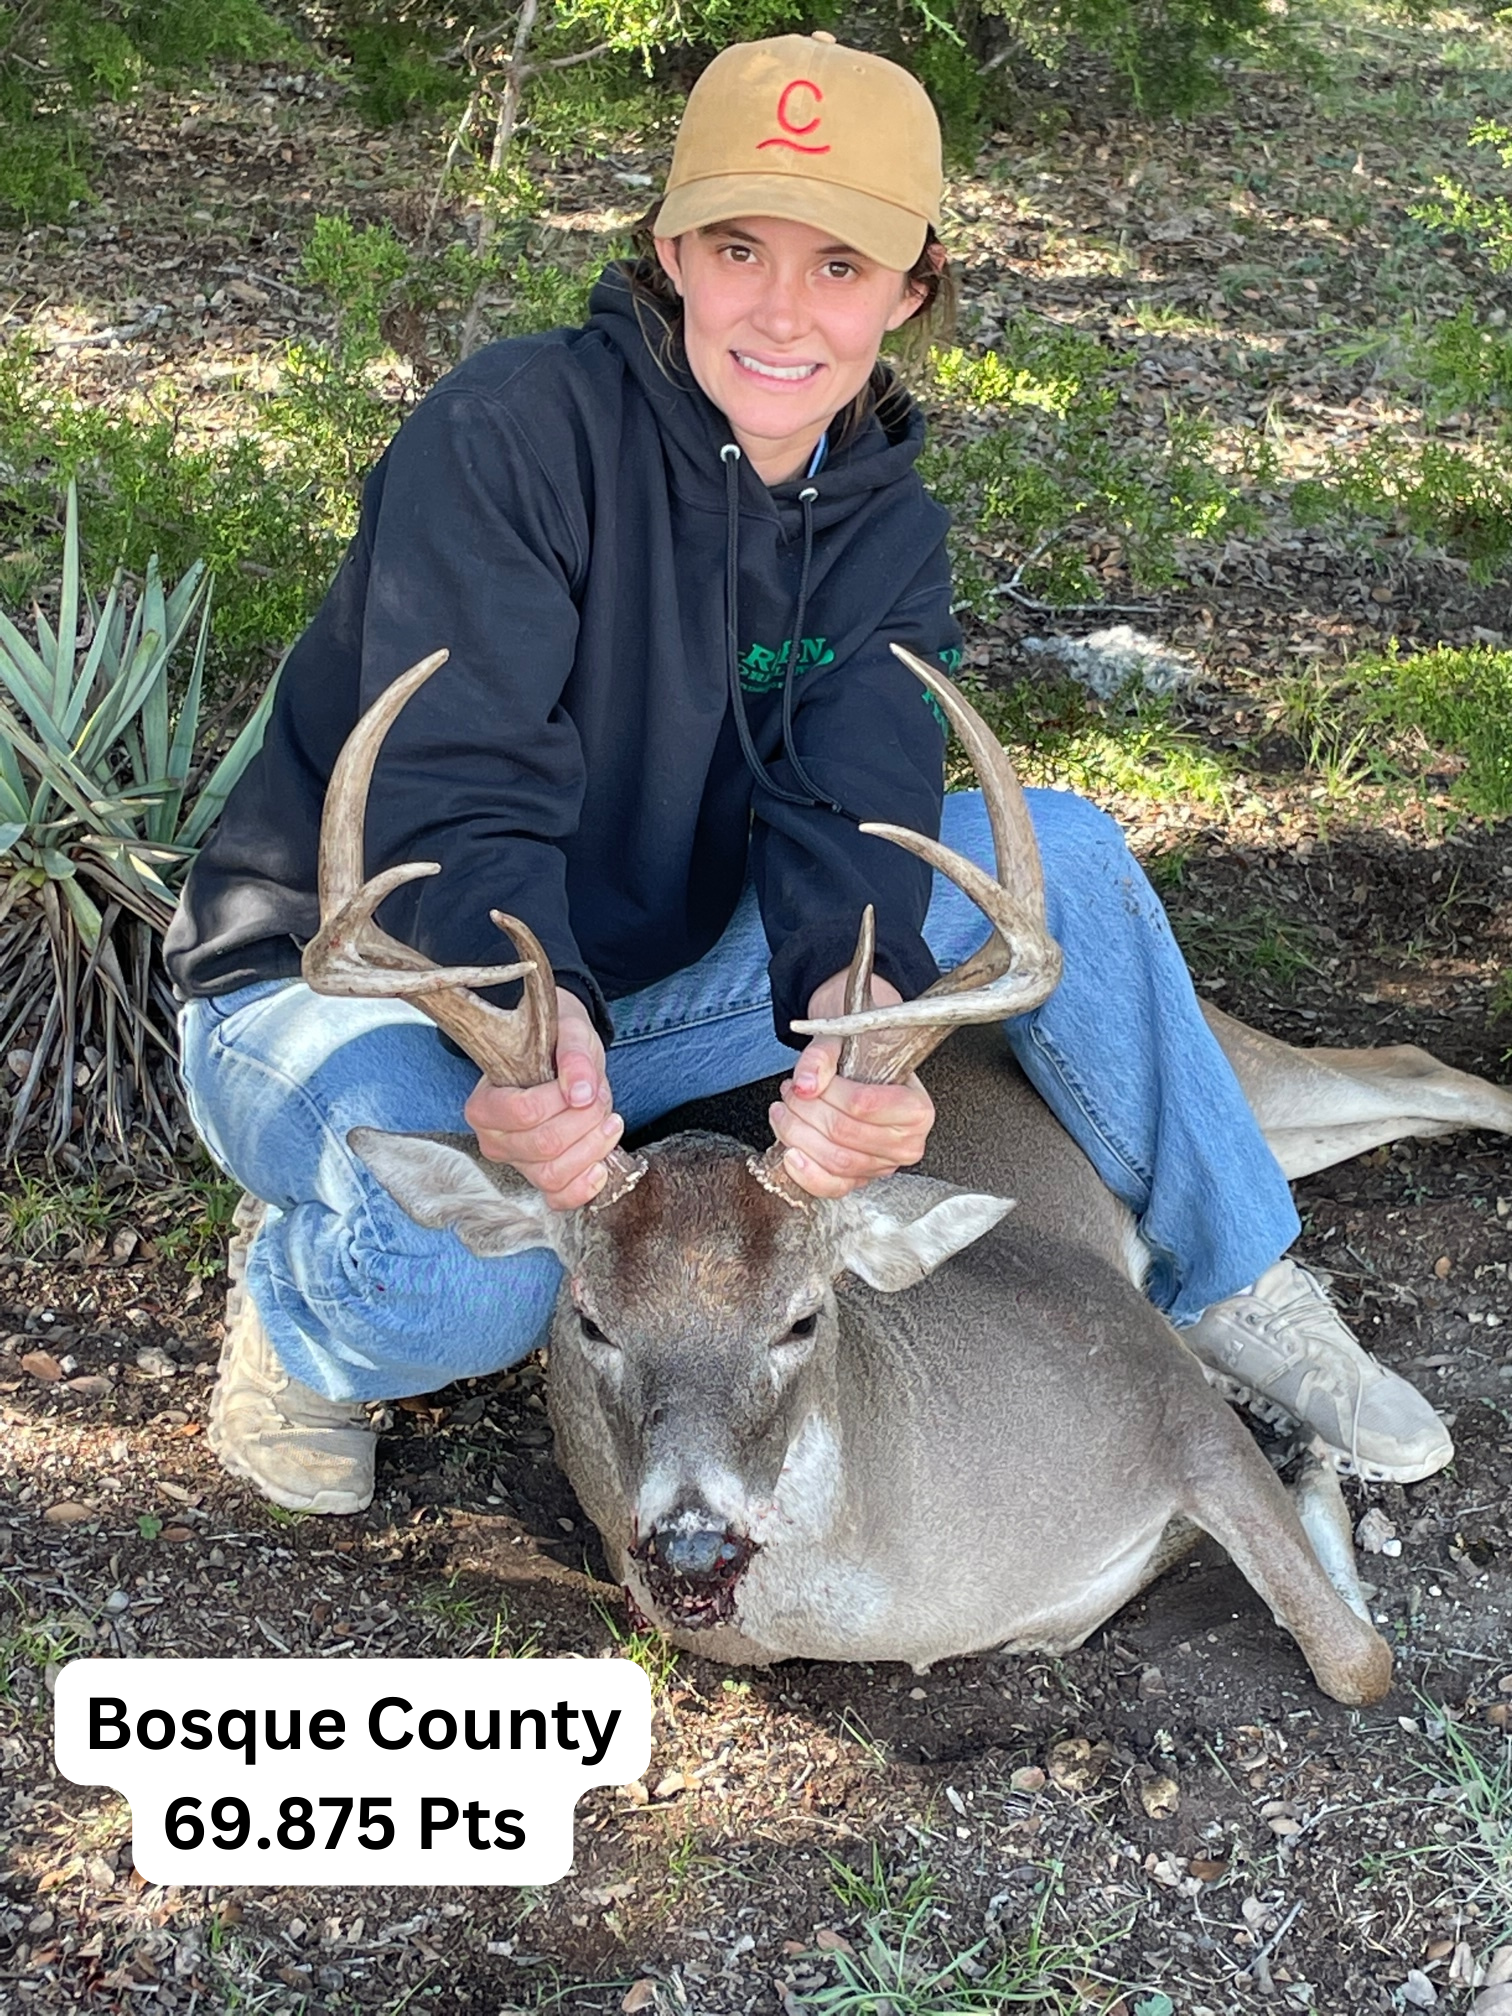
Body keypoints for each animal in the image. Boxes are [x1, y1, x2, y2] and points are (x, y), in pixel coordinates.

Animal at [302, 648, 1512, 1707]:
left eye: (801, 1318)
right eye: (592, 1321)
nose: (692, 1546)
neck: (904, 1574)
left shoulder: (1168, 1398)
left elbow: (1356, 1659)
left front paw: (1310, 1477)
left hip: (1246, 1077)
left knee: (1419, 1069)